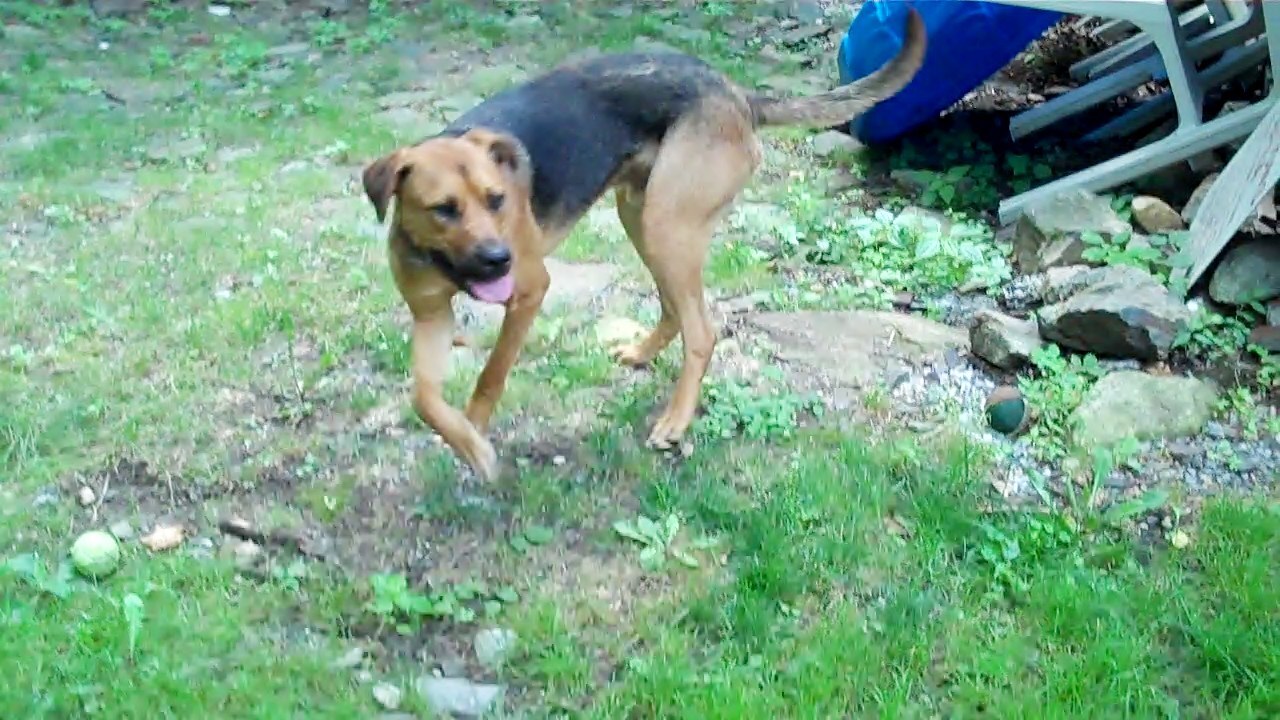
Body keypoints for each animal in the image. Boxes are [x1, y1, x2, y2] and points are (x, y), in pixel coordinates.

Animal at [366, 8, 926, 479]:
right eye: (444, 209)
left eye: (497, 199)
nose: (498, 260)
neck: (445, 262)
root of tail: (736, 93)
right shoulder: (431, 315)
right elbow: (424, 397)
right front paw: (463, 438)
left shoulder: (529, 291)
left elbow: (491, 373)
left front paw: (477, 438)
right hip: (642, 217)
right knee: (676, 309)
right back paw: (639, 354)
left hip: (665, 224)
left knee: (702, 331)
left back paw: (675, 421)